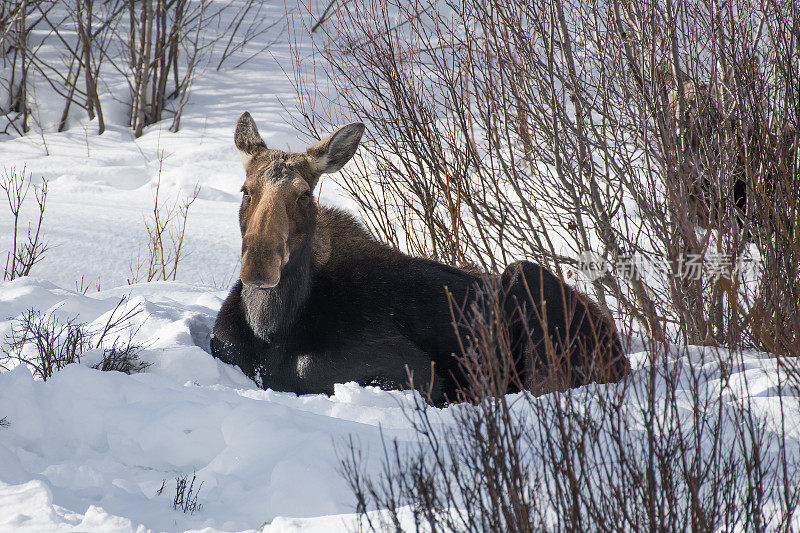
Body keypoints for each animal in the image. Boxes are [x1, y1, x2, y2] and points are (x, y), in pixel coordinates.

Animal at [212, 112, 632, 404]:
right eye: (246, 190)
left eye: (304, 194)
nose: (259, 266)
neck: (271, 324)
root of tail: (620, 351)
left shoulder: (414, 369)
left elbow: (304, 366)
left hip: (529, 288)